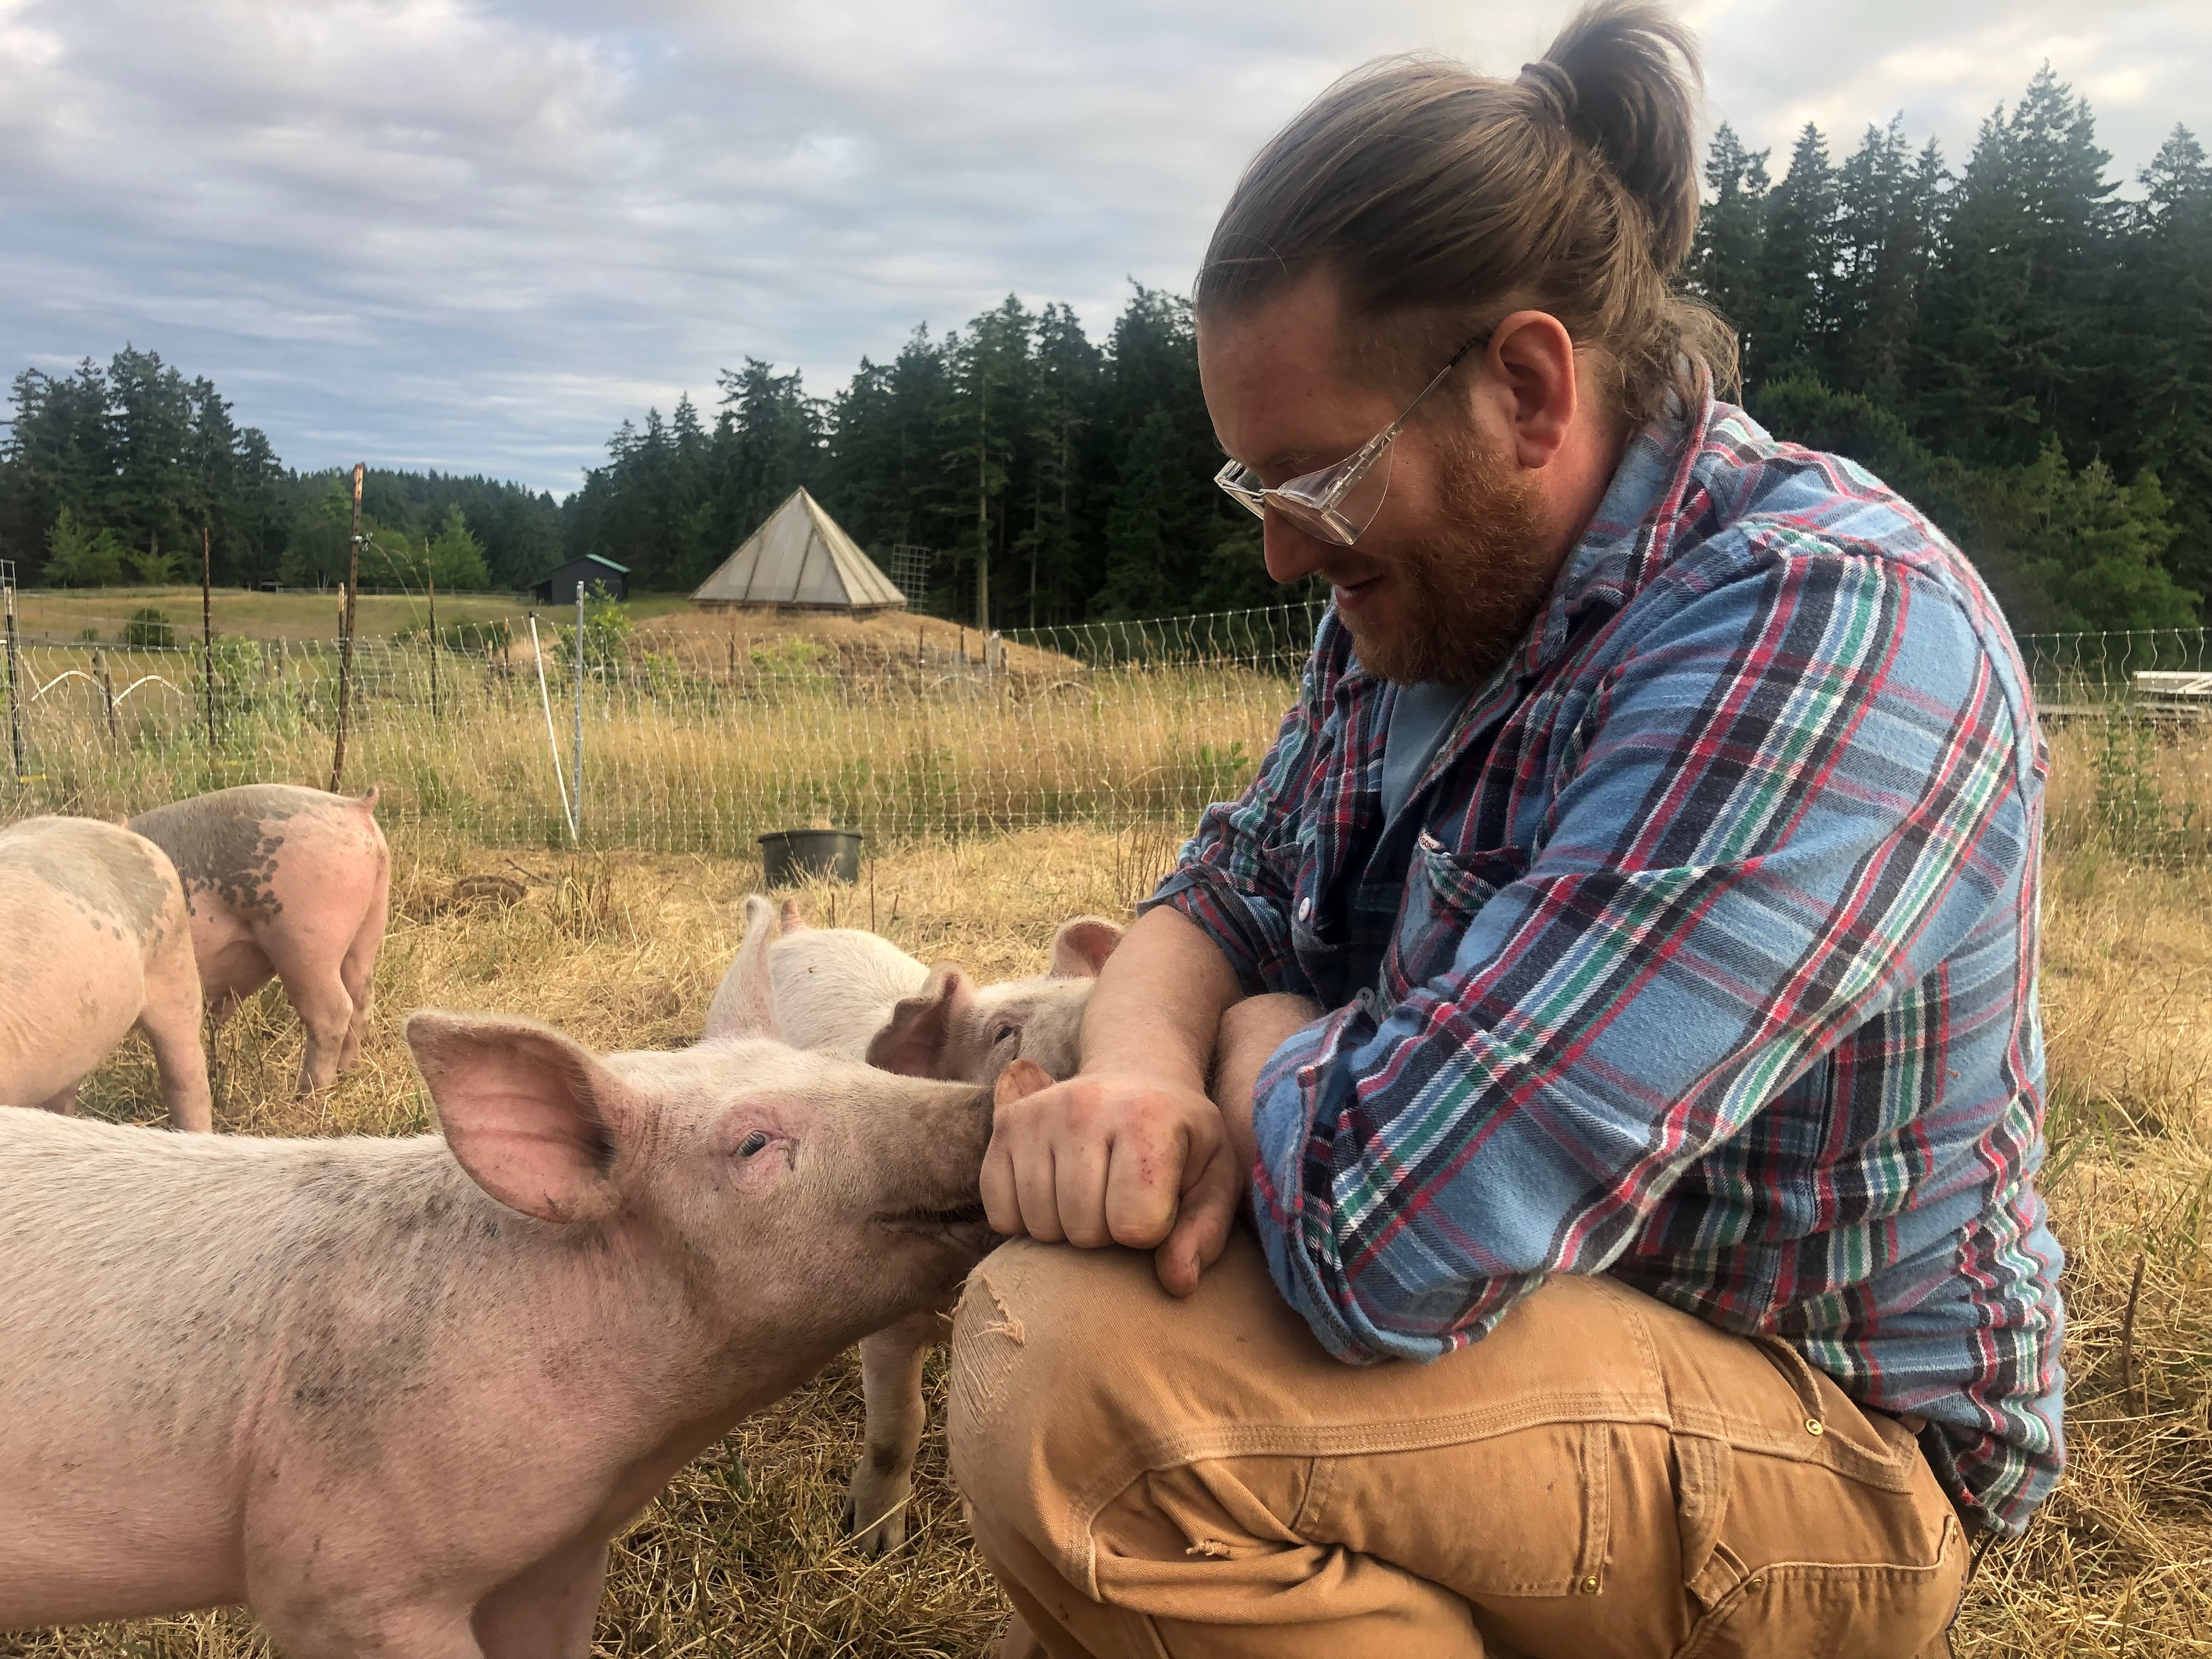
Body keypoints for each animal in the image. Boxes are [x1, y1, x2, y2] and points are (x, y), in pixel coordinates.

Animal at [127, 783, 391, 1095]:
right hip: (370, 926)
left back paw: (307, 1093)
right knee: (363, 997)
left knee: (332, 1012)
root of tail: (356, 808)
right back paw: (346, 1070)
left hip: (306, 941)